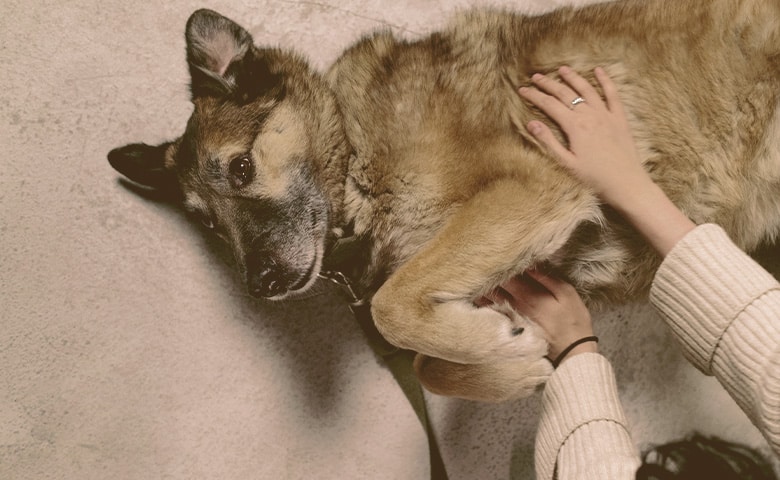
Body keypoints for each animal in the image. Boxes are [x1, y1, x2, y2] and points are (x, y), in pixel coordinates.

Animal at [108, 0, 780, 402]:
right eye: (209, 226)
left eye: (242, 168)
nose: (261, 284)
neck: (355, 147)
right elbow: (428, 366)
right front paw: (513, 361)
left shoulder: (527, 191)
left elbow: (392, 306)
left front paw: (493, 348)